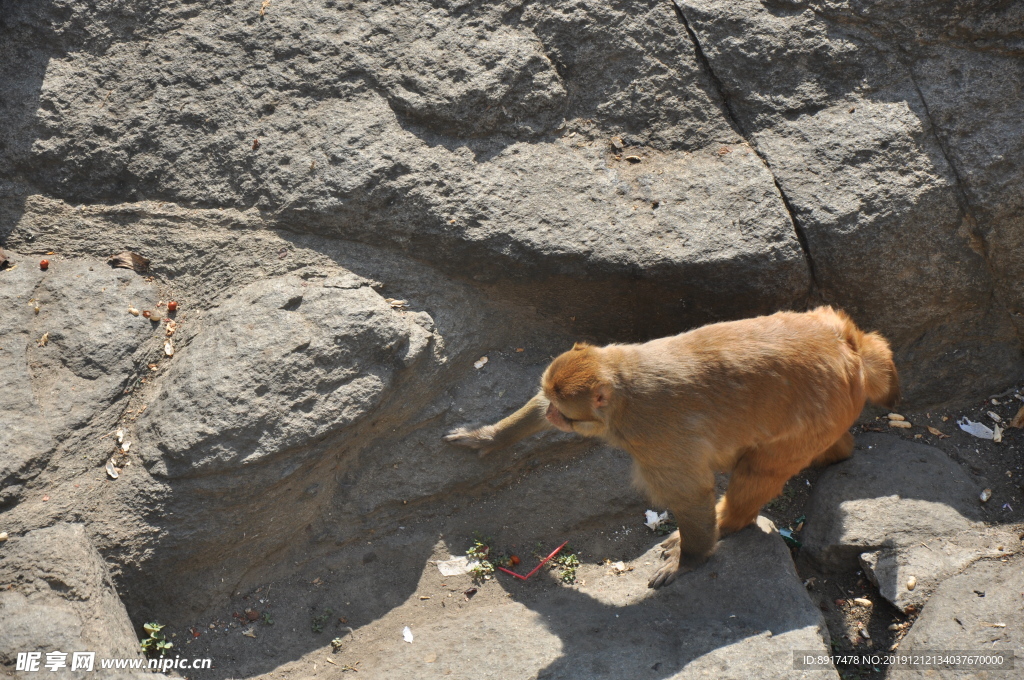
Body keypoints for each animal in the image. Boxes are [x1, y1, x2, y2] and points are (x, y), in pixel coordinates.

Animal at [446, 305, 897, 585]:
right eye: (555, 406)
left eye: (568, 414)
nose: (556, 416)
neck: (623, 392)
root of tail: (849, 346)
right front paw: (489, 437)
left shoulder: (656, 439)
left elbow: (691, 493)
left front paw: (690, 562)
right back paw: (839, 451)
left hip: (814, 417)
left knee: (759, 471)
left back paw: (727, 522)